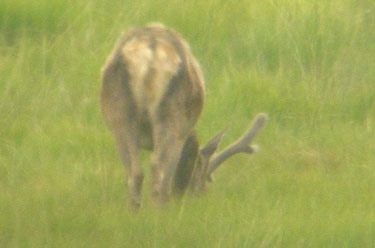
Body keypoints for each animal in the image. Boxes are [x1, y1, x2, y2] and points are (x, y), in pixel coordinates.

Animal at [101, 22, 268, 209]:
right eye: (201, 171)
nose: (200, 196)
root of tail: (152, 48)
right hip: (173, 117)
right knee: (159, 171)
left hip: (120, 115)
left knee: (135, 173)